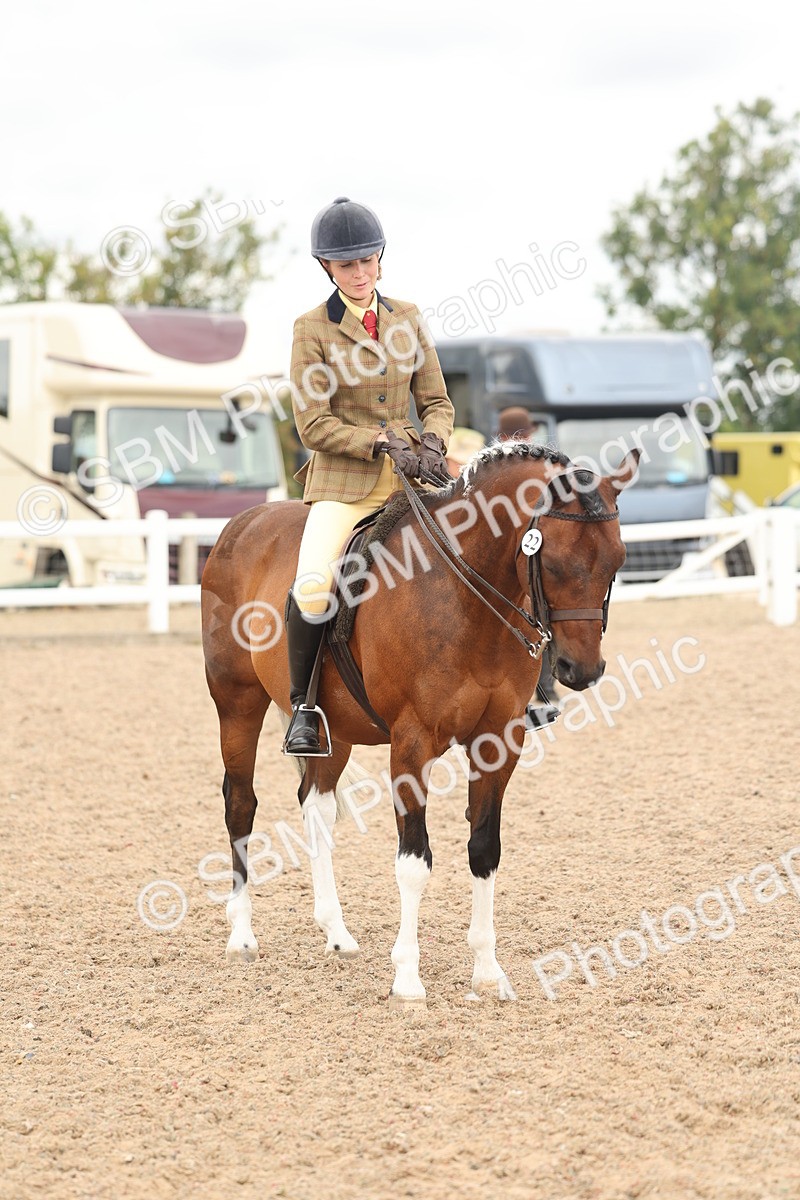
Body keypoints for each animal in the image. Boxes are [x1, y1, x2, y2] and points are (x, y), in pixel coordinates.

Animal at [200, 441, 640, 1004]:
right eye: (554, 561)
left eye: (617, 559)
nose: (580, 671)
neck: (464, 595)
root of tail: (243, 522)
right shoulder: (411, 744)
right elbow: (414, 862)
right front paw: (408, 978)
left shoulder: (498, 742)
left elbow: (484, 850)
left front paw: (488, 971)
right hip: (237, 703)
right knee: (240, 805)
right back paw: (241, 935)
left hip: (333, 729)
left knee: (316, 807)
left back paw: (336, 933)